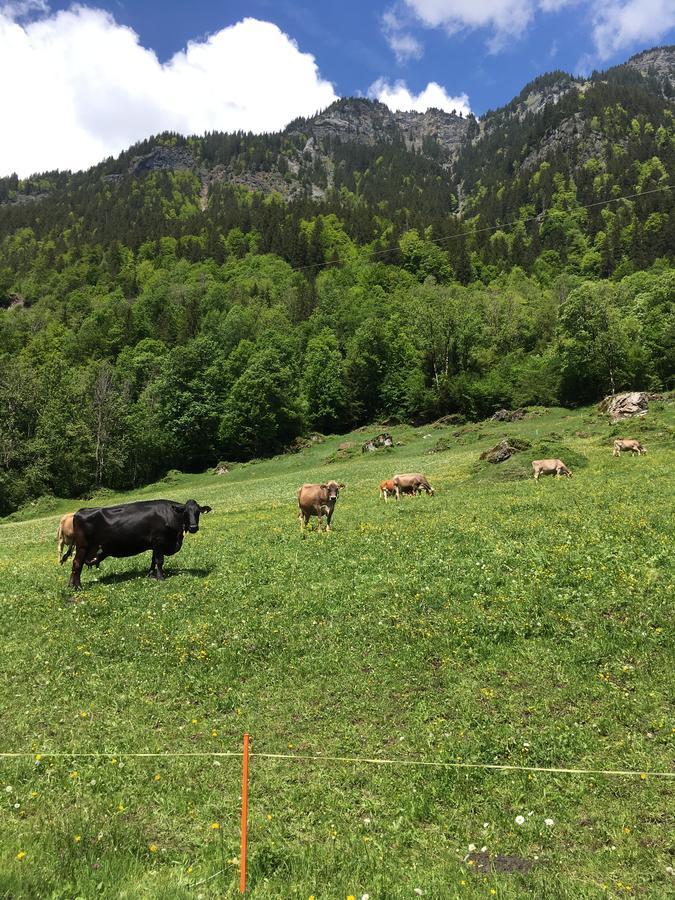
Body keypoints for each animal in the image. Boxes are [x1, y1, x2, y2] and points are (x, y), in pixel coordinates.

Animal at [68, 500, 211, 592]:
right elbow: (160, 560)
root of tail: (79, 512)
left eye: (198, 512)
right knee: (77, 564)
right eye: (185, 512)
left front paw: (150, 574)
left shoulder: (154, 544)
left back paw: (71, 586)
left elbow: (153, 560)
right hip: (82, 546)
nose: (193, 527)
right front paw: (160, 577)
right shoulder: (159, 540)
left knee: (75, 565)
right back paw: (78, 587)